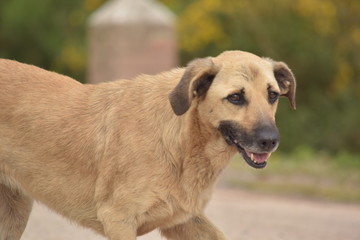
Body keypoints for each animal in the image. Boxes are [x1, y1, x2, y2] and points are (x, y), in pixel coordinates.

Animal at [0, 51, 296, 240]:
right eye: (235, 97)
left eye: (272, 95)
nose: (270, 140)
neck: (181, 141)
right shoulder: (119, 220)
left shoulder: (186, 221)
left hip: (14, 215)